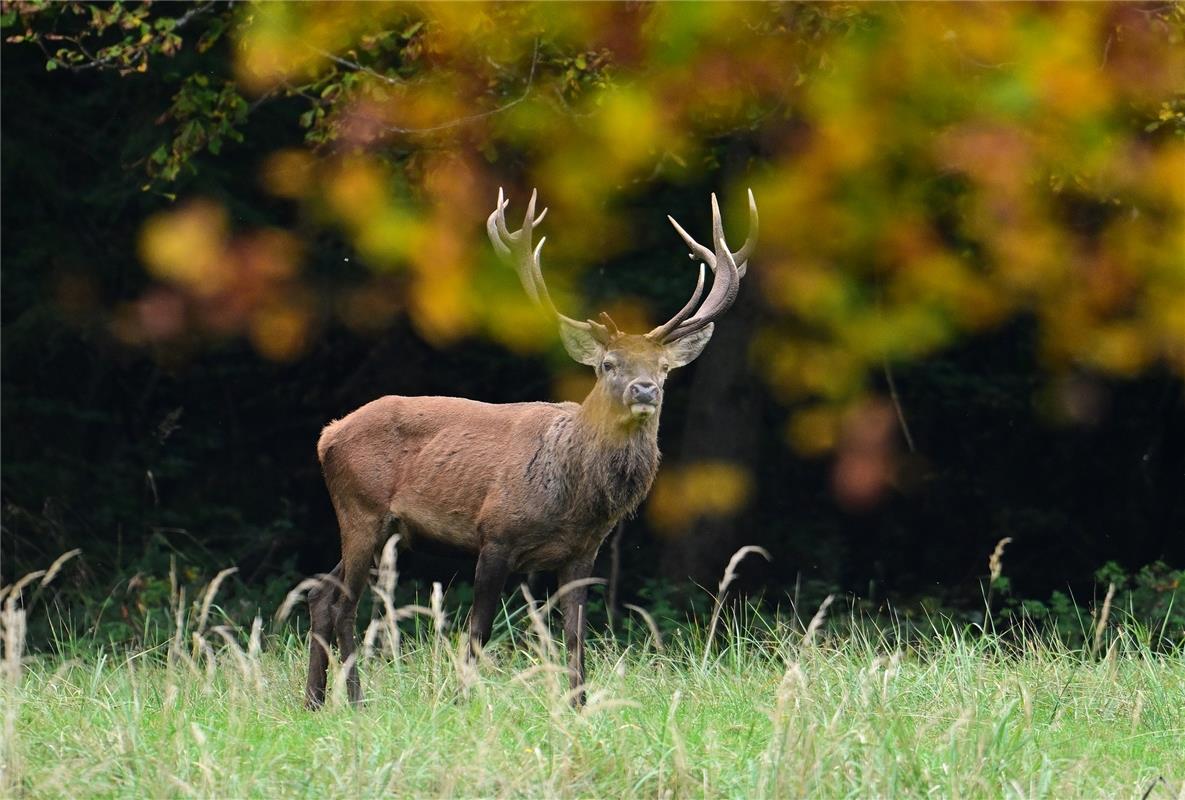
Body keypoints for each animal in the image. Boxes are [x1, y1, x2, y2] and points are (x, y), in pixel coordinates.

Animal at [305, 186, 758, 706]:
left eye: (664, 367)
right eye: (608, 364)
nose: (645, 389)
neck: (575, 498)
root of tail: (327, 435)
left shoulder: (583, 552)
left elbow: (576, 637)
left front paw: (578, 705)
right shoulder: (495, 534)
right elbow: (477, 630)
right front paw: (461, 702)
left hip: (379, 525)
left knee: (320, 594)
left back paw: (313, 700)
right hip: (361, 509)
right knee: (344, 603)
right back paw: (355, 700)